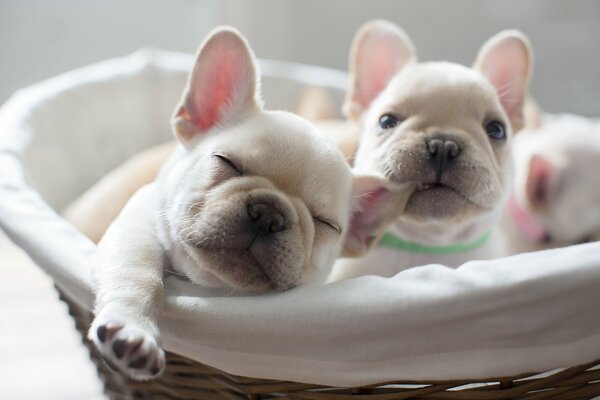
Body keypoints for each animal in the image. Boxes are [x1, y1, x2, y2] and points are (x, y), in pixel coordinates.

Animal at [88, 26, 404, 380]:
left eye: (325, 223)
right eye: (227, 163)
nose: (268, 213)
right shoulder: (135, 229)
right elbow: (139, 274)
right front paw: (133, 330)